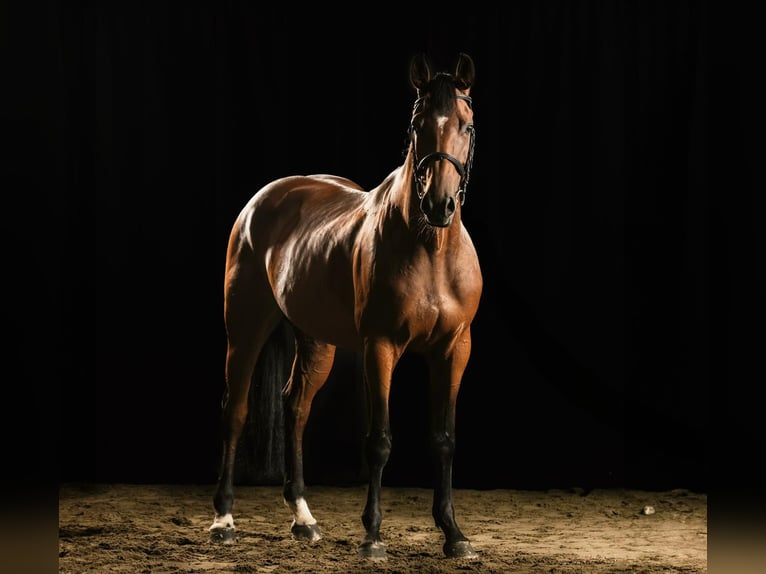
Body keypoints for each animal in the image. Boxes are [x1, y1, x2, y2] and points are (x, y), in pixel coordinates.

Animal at [208, 51, 486, 560]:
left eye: (466, 125)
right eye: (417, 124)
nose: (439, 205)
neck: (430, 248)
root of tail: (264, 199)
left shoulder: (455, 349)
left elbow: (444, 439)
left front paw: (454, 534)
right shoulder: (381, 347)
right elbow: (378, 441)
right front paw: (372, 536)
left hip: (316, 340)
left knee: (295, 406)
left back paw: (303, 518)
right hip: (245, 326)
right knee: (234, 408)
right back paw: (224, 519)